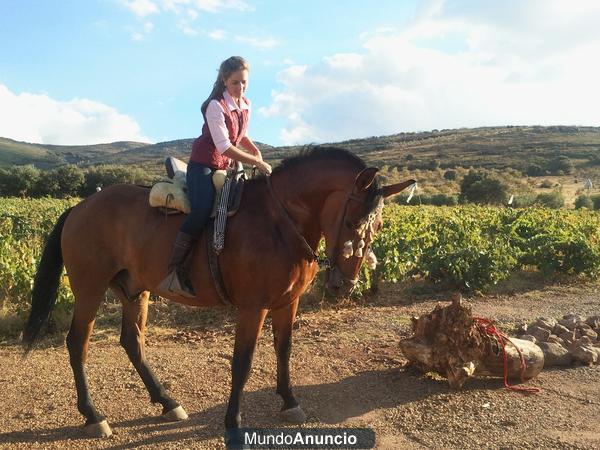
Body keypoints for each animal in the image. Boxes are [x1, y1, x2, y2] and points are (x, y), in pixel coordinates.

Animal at [19, 147, 412, 440]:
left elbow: (284, 350)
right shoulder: (253, 307)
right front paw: (233, 420)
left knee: (132, 342)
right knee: (77, 344)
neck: (280, 221)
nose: (344, 284)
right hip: (89, 287)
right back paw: (93, 415)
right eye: (352, 220)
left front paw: (289, 401)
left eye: (378, 224)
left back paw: (166, 401)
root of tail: (81, 206)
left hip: (134, 290)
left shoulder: (288, 302)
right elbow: (243, 361)